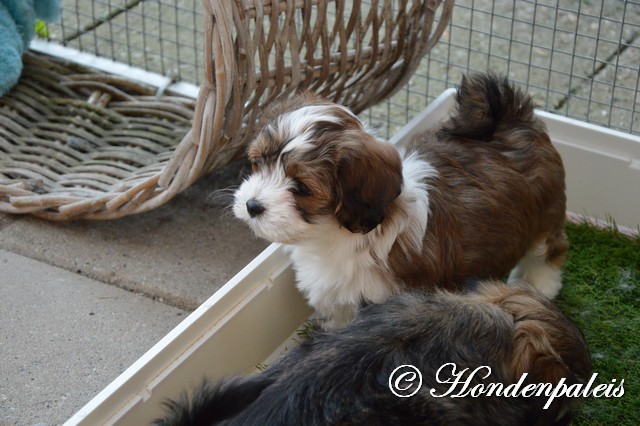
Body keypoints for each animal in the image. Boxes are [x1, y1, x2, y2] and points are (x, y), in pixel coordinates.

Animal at [234, 73, 564, 326]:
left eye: (302, 187)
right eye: (258, 163)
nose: (252, 205)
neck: (334, 235)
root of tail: (511, 119)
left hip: (546, 213)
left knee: (549, 250)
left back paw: (539, 284)